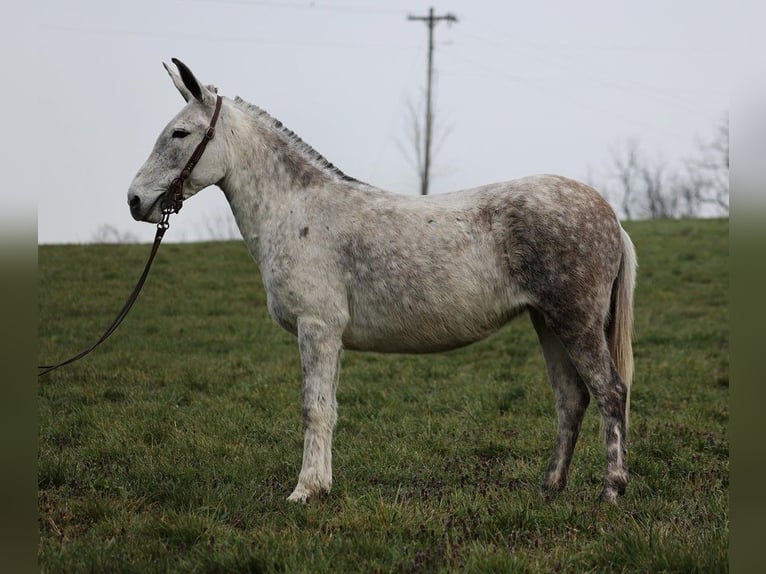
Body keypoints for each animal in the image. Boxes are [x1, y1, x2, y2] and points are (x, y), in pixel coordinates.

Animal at [129, 59, 640, 504]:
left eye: (179, 133)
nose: (135, 200)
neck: (295, 210)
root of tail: (610, 216)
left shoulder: (317, 328)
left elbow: (313, 409)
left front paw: (303, 492)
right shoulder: (330, 335)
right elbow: (329, 407)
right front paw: (322, 486)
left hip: (576, 323)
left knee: (610, 392)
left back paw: (611, 490)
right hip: (547, 322)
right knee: (571, 399)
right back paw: (550, 486)